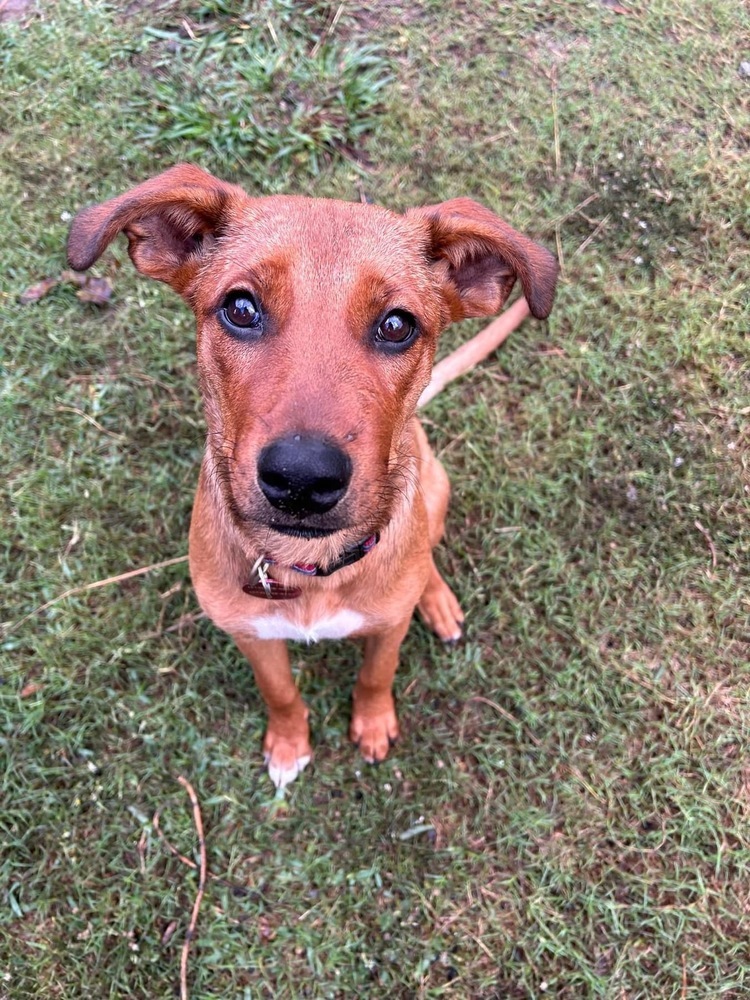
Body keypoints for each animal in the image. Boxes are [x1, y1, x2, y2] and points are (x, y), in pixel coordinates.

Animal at [66, 166, 560, 788]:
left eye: (397, 324)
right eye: (241, 308)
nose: (301, 478)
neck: (310, 568)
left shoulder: (386, 630)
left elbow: (376, 675)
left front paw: (372, 724)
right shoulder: (251, 634)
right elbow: (279, 692)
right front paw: (287, 744)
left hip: (435, 487)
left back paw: (436, 598)